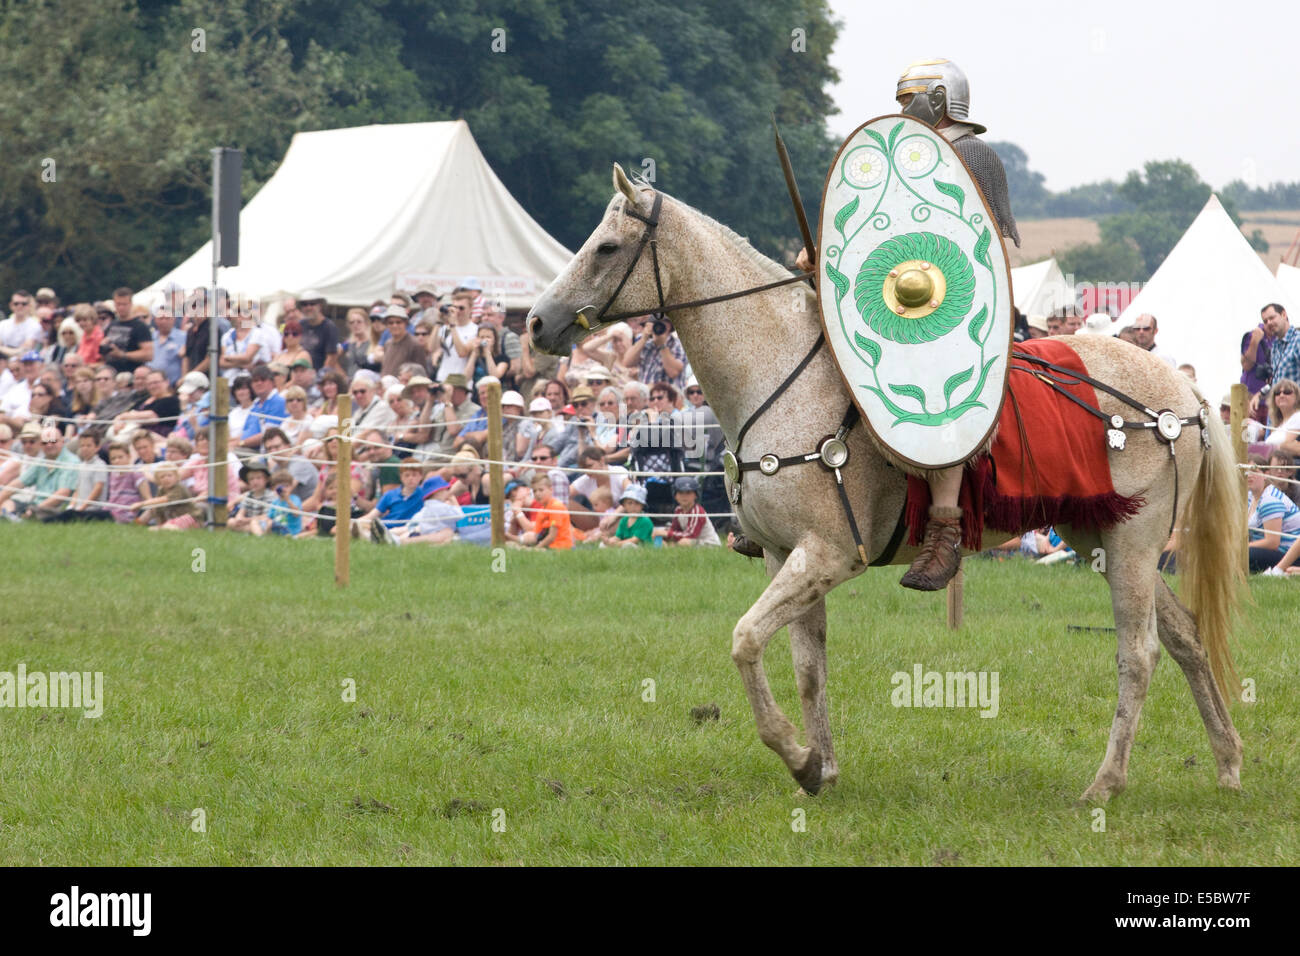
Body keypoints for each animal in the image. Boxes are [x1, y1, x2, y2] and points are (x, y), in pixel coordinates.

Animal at [527, 164, 1248, 801]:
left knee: (1140, 653)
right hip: (1101, 532)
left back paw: (1106, 783)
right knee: (1184, 638)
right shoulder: (786, 559)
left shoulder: (826, 555)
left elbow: (744, 641)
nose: (536, 323)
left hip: (1135, 540)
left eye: (607, 247)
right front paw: (820, 769)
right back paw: (1228, 763)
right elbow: (806, 667)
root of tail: (1185, 391)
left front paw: (795, 755)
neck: (781, 377)